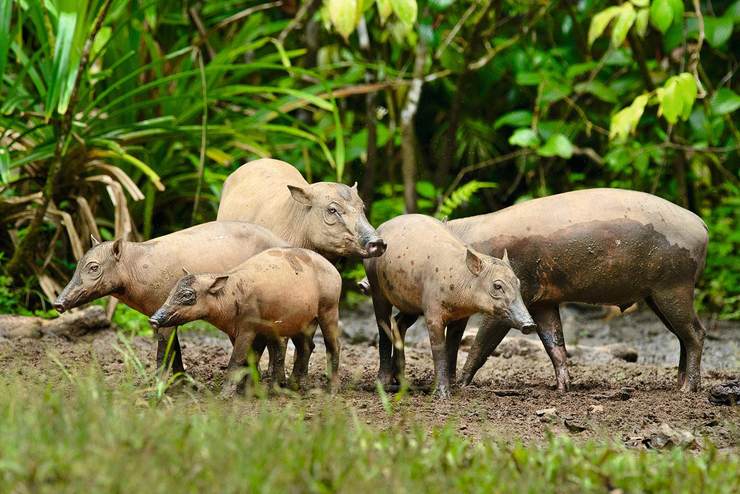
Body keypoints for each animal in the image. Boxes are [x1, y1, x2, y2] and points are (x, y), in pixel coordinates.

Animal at [52, 222, 288, 376]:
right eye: (78, 263)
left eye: (93, 267)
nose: (57, 303)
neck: (135, 268)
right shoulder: (162, 314)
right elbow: (174, 347)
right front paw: (181, 381)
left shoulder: (163, 307)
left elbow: (164, 347)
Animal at [148, 247, 344, 398]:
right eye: (171, 292)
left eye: (188, 296)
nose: (153, 320)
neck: (230, 297)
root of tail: (334, 269)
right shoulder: (247, 332)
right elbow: (250, 360)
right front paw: (248, 391)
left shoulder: (248, 328)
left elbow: (236, 360)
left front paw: (225, 395)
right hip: (301, 323)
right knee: (306, 347)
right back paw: (294, 387)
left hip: (329, 309)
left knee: (333, 345)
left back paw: (331, 390)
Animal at [362, 214, 532, 400]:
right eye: (497, 286)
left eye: (518, 282)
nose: (530, 325)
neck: (460, 281)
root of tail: (382, 226)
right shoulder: (432, 313)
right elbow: (439, 350)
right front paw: (442, 394)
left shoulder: (461, 318)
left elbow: (453, 347)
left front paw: (455, 388)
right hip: (377, 289)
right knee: (383, 325)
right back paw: (383, 384)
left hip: (410, 304)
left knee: (398, 323)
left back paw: (402, 383)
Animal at [446, 187, 712, 392]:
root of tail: (701, 224)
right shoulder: (542, 301)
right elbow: (554, 342)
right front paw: (563, 389)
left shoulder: (514, 296)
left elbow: (482, 344)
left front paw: (461, 385)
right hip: (655, 295)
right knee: (682, 336)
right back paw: (680, 385)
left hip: (674, 286)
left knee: (696, 333)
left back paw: (688, 390)